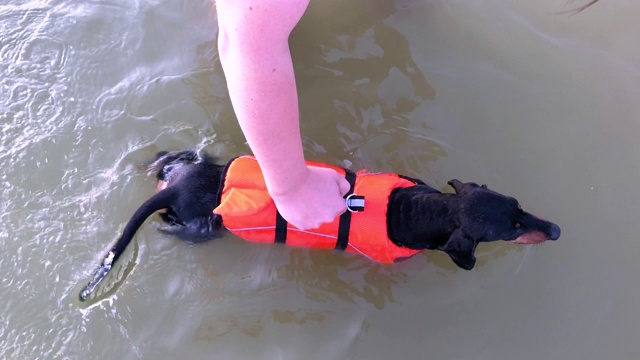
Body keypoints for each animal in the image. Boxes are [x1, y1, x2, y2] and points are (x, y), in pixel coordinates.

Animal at [81, 150, 560, 300]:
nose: (555, 230)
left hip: (183, 167)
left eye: (520, 207)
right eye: (512, 228)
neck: (421, 210)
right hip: (201, 226)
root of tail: (175, 187)